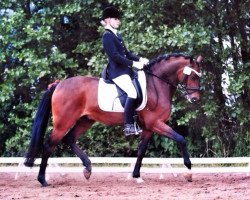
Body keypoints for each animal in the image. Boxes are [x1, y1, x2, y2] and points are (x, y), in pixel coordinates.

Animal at [23, 52, 203, 186]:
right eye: (194, 77)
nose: (195, 99)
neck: (156, 85)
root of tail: (58, 84)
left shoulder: (148, 127)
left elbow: (141, 151)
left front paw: (137, 176)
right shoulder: (156, 123)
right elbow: (181, 139)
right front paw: (188, 172)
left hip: (85, 120)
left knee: (70, 139)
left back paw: (87, 168)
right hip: (63, 123)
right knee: (49, 145)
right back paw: (43, 180)